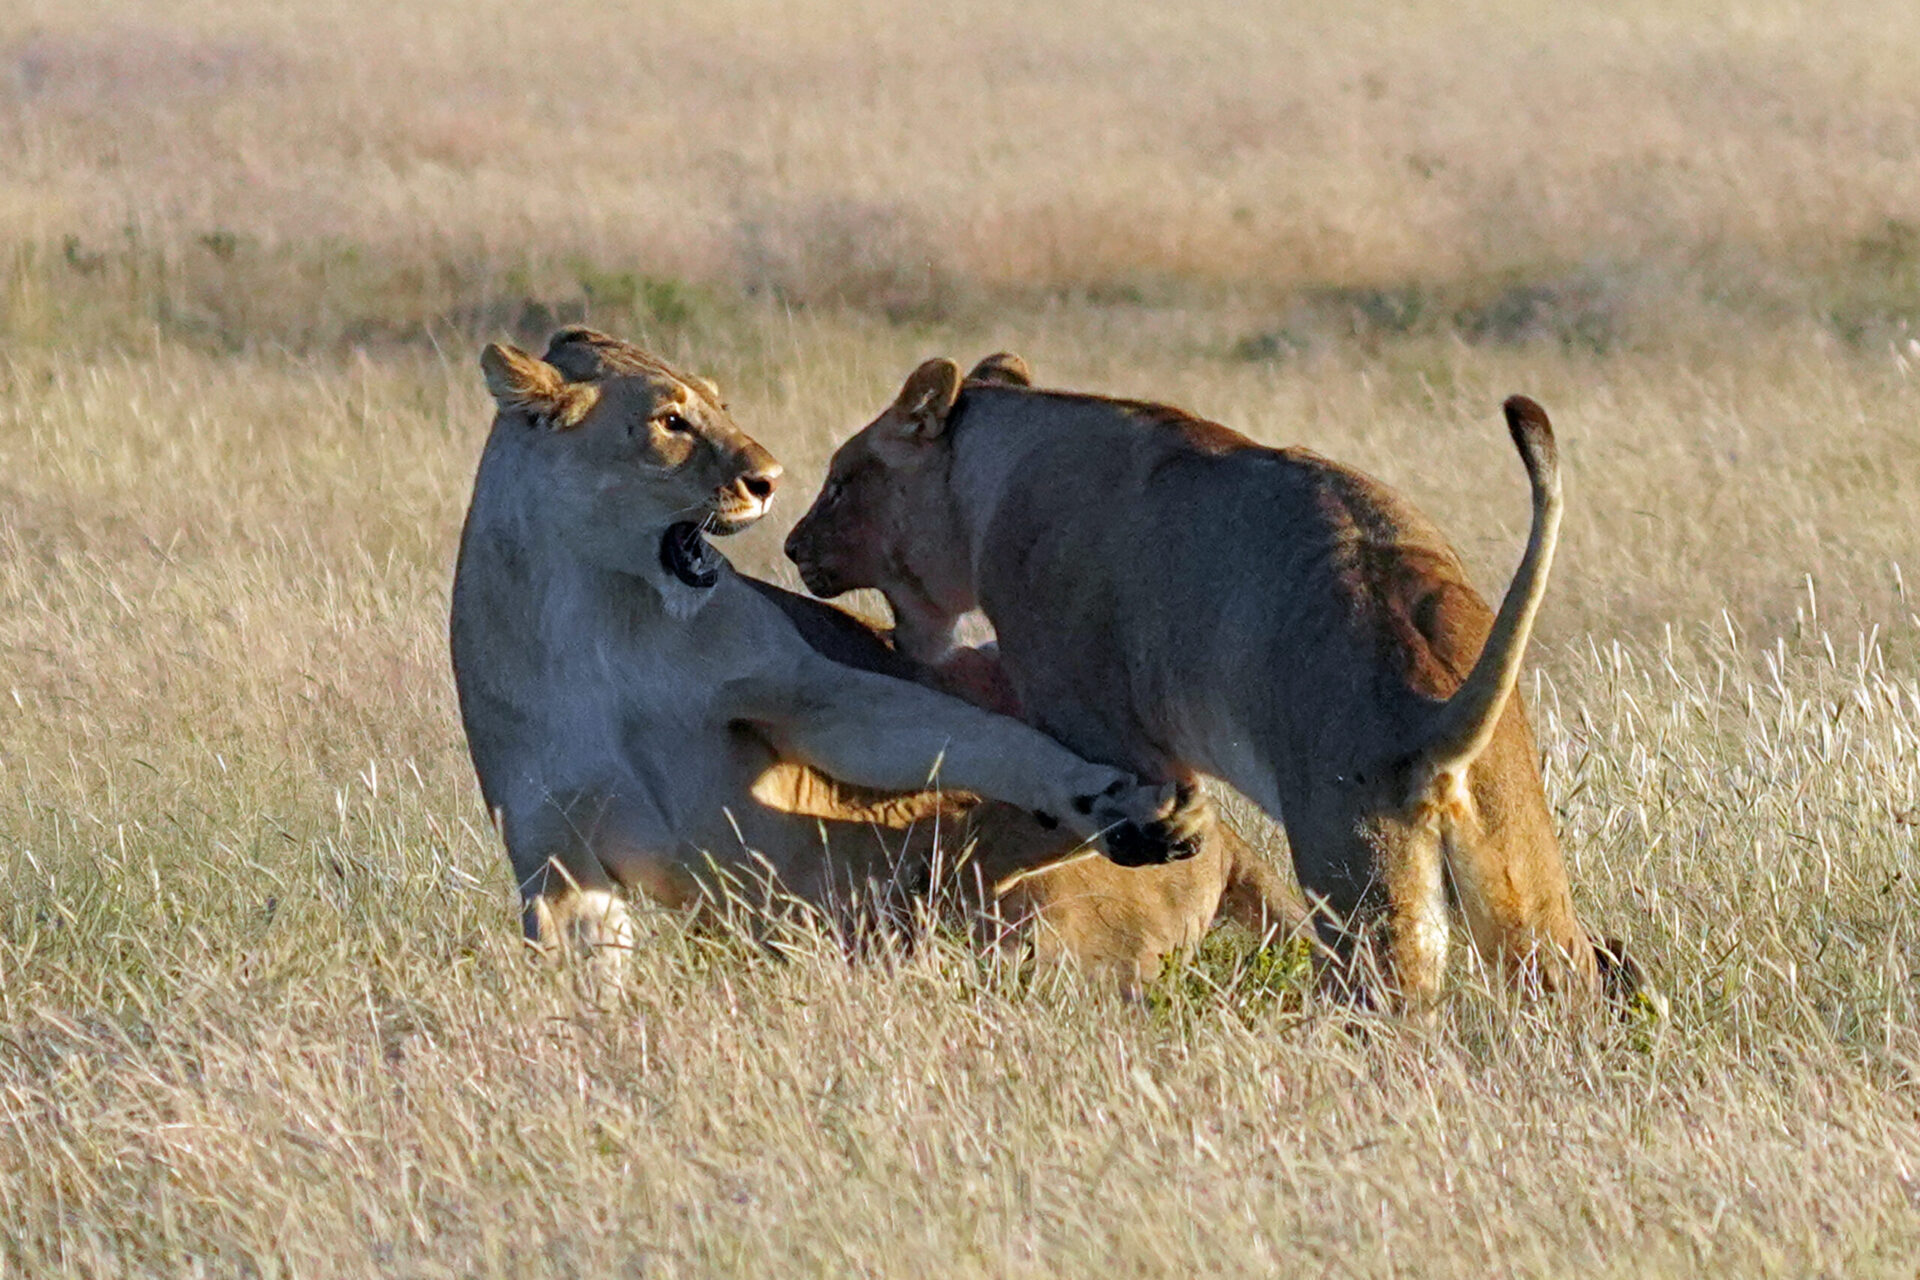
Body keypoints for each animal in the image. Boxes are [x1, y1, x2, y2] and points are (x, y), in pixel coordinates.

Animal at [449, 328, 1200, 972]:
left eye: (721, 405)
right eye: (671, 421)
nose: (772, 479)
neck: (597, 613)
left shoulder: (808, 694)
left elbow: (975, 737)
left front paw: (1107, 798)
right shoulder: (554, 857)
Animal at [786, 353, 1650, 1009]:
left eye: (838, 483)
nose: (792, 546)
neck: (993, 472)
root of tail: (1431, 702)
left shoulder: (1091, 716)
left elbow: (1065, 803)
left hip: (1357, 865)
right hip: (1520, 870)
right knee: (1562, 979)